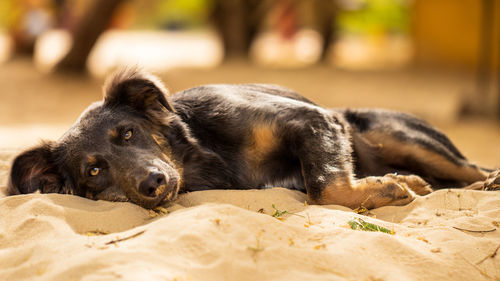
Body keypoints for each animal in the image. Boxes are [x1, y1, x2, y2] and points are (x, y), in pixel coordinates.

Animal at [4, 68, 500, 208]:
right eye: (94, 170)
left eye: (126, 133)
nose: (152, 185)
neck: (201, 156)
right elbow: (323, 186)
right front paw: (393, 185)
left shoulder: (314, 119)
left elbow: (326, 183)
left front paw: (394, 186)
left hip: (391, 133)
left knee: (472, 168)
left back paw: (484, 182)